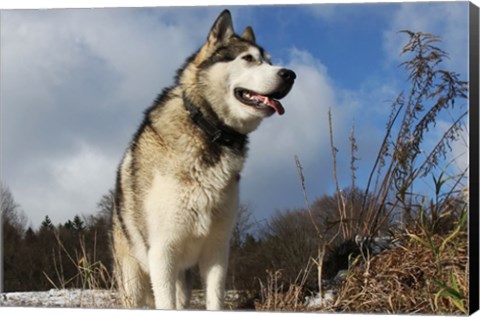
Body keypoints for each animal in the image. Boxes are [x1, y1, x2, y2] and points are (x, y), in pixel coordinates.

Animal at [110, 9, 294, 308]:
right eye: (248, 59)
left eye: (269, 61)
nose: (290, 74)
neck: (208, 131)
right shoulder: (162, 252)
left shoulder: (217, 250)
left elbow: (215, 298)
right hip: (133, 278)